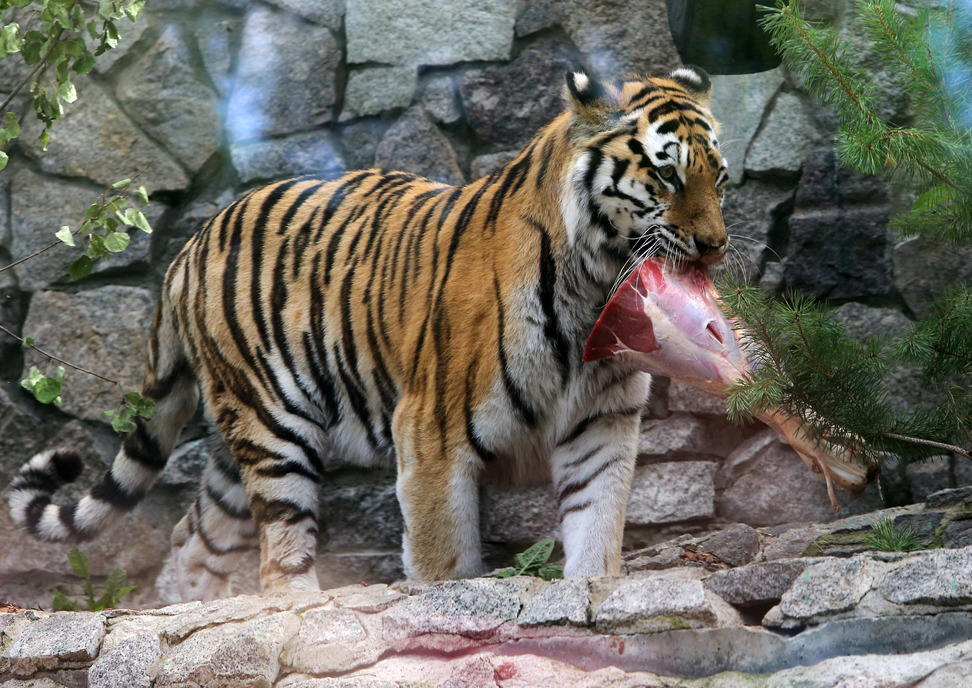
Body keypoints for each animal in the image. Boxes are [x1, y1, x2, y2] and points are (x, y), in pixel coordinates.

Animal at [7, 66, 724, 600]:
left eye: (717, 174)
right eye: (666, 173)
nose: (715, 246)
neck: (596, 289)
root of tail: (191, 246)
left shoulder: (600, 424)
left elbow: (597, 530)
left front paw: (592, 594)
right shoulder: (432, 436)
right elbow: (443, 565)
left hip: (236, 450)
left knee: (192, 544)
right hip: (274, 428)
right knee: (280, 557)